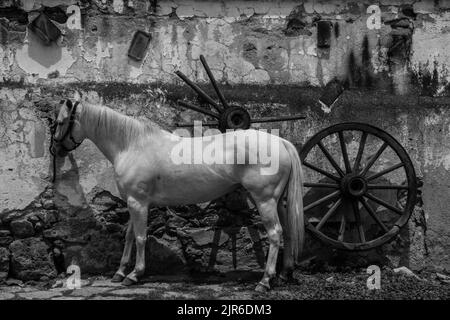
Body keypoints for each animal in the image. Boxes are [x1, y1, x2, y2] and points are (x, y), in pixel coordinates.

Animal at [51, 99, 306, 292]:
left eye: (61, 122)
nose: (56, 149)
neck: (131, 146)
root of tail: (281, 141)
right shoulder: (135, 202)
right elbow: (130, 235)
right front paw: (120, 272)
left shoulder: (138, 203)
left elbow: (141, 238)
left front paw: (134, 275)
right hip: (277, 202)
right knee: (288, 232)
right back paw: (284, 273)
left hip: (264, 201)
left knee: (275, 234)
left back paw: (265, 281)